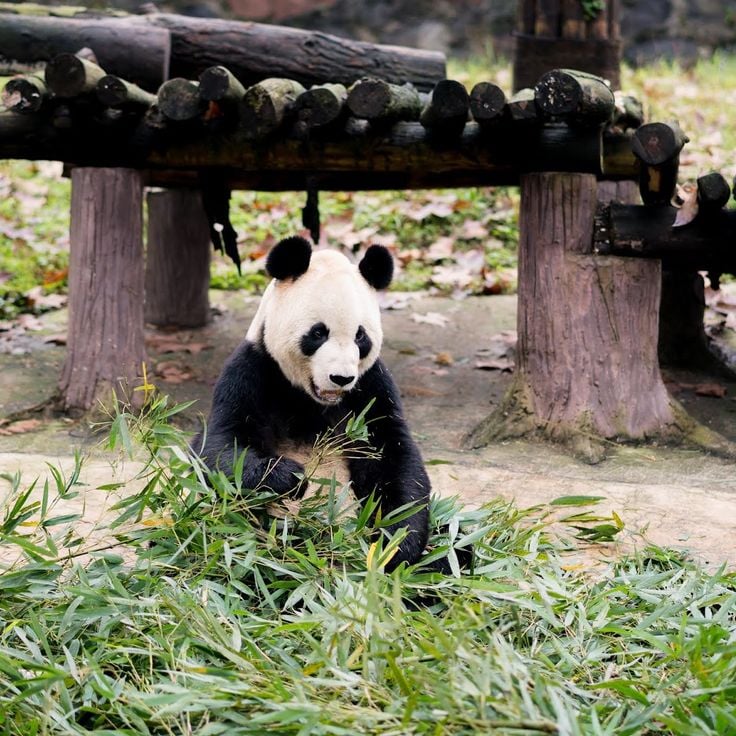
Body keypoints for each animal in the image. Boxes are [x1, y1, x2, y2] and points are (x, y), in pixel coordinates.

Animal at [195, 235, 431, 570]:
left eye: (361, 337)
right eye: (318, 333)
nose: (341, 377)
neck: (311, 399)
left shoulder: (371, 387)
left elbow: (392, 455)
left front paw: (396, 544)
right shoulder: (252, 371)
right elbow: (219, 446)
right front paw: (292, 476)